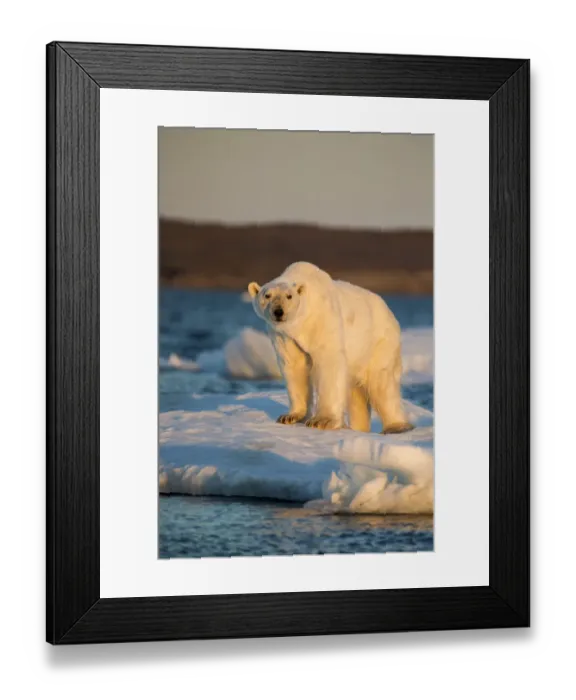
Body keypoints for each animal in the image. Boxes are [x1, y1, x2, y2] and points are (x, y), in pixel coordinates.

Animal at [247, 262, 414, 434]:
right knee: (357, 393)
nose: (278, 311)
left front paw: (322, 421)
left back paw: (397, 426)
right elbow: (295, 366)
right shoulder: (284, 336)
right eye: (267, 295)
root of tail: (389, 311)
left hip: (378, 343)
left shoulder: (322, 320)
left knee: (382, 384)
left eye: (289, 296)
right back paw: (358, 427)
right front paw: (291, 416)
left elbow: (328, 363)